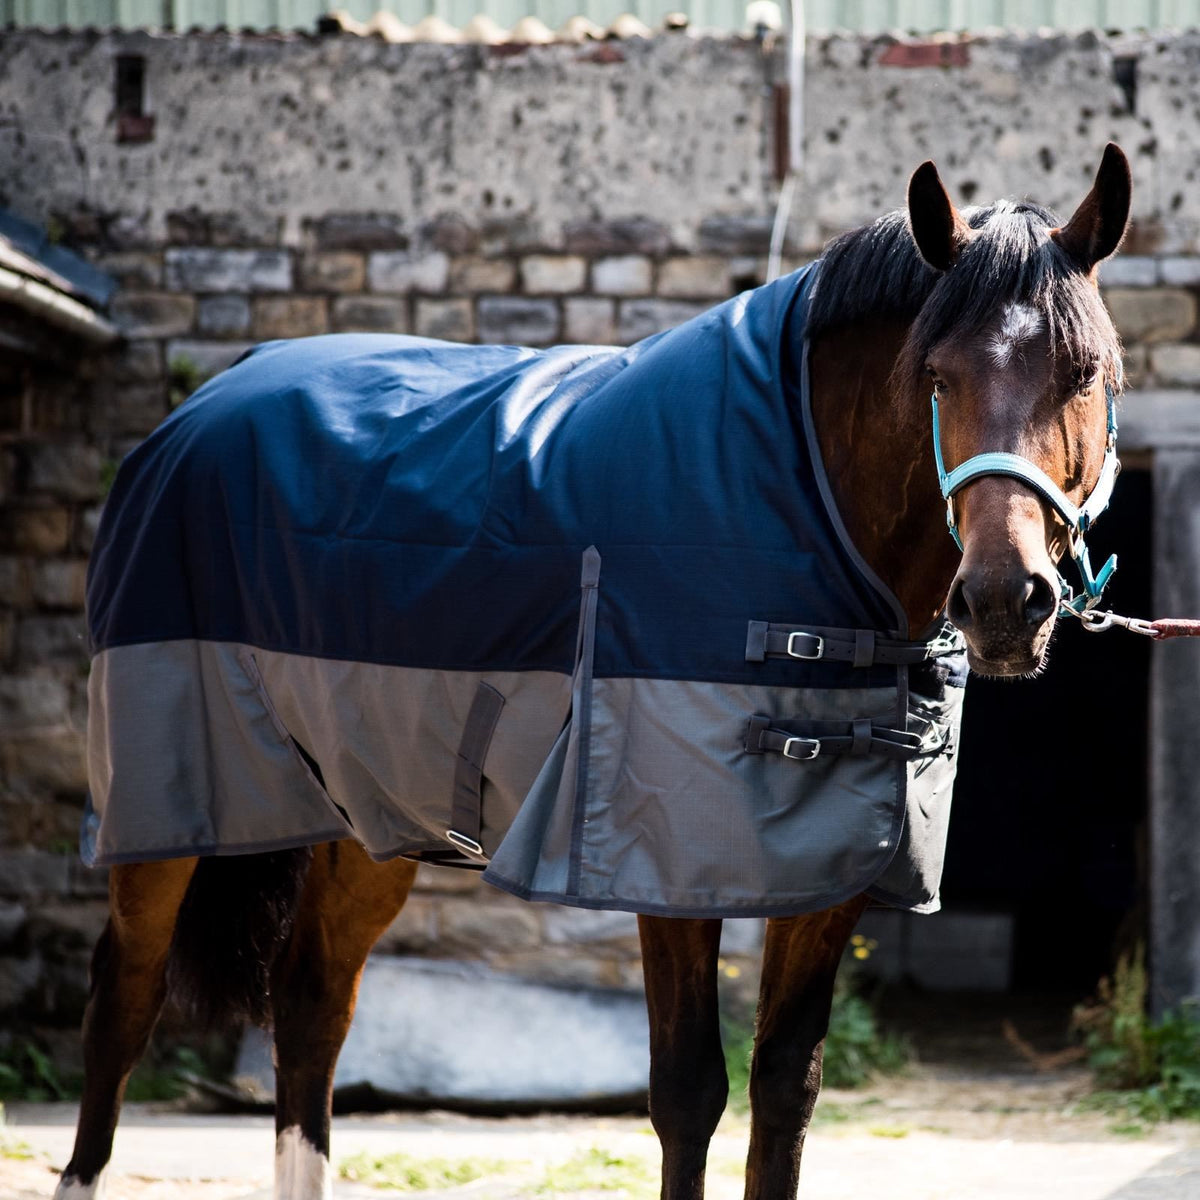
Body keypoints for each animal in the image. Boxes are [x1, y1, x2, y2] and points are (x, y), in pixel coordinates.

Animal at [54, 143, 1130, 1200]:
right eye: (935, 374)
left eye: (1085, 372)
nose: (1004, 601)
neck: (790, 499)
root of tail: (198, 407)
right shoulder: (663, 864)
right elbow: (691, 1092)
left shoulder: (827, 876)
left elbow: (786, 1091)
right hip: (167, 803)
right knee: (123, 999)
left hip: (373, 810)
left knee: (311, 1003)